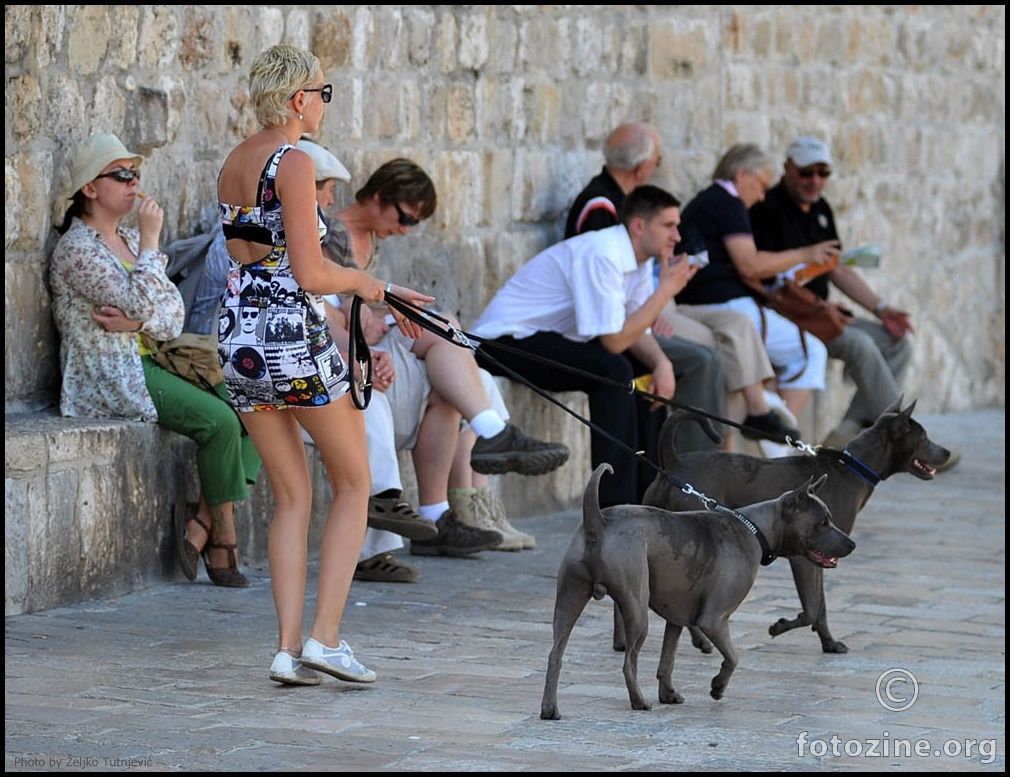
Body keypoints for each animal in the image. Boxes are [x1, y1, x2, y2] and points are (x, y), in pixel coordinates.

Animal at [541, 456, 856, 719]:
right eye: (823, 522)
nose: (852, 544)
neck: (755, 529)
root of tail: (598, 521)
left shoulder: (676, 618)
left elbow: (667, 661)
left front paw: (669, 694)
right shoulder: (714, 620)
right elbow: (733, 656)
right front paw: (717, 686)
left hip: (568, 601)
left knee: (555, 654)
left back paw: (550, 709)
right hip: (636, 609)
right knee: (628, 662)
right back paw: (639, 702)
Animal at [638, 394, 953, 654]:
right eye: (924, 438)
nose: (948, 452)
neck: (851, 470)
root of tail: (674, 463)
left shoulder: (822, 553)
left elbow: (821, 607)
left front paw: (829, 643)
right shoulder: (804, 557)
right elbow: (812, 608)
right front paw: (779, 627)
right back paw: (700, 639)